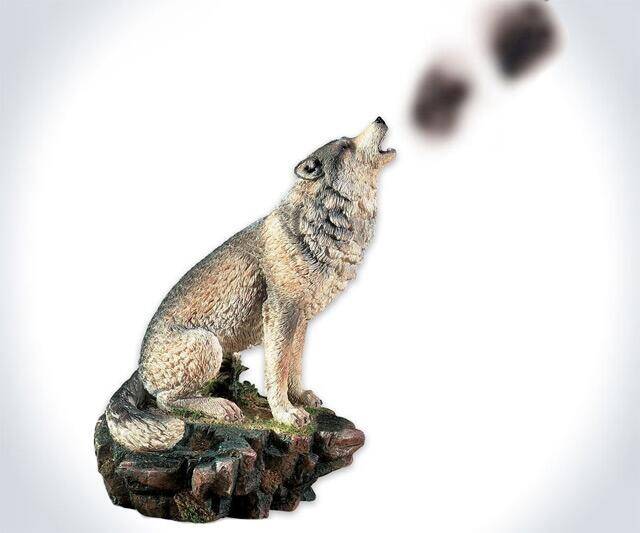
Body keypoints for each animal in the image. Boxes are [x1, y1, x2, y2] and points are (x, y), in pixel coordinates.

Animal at [106, 118, 396, 452]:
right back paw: (219, 406)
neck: (321, 222)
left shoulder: (301, 319)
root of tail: (139, 369)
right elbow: (277, 369)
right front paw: (284, 413)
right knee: (165, 401)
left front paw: (299, 398)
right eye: (346, 145)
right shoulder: (280, 312)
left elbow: (294, 364)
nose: (380, 119)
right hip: (206, 344)